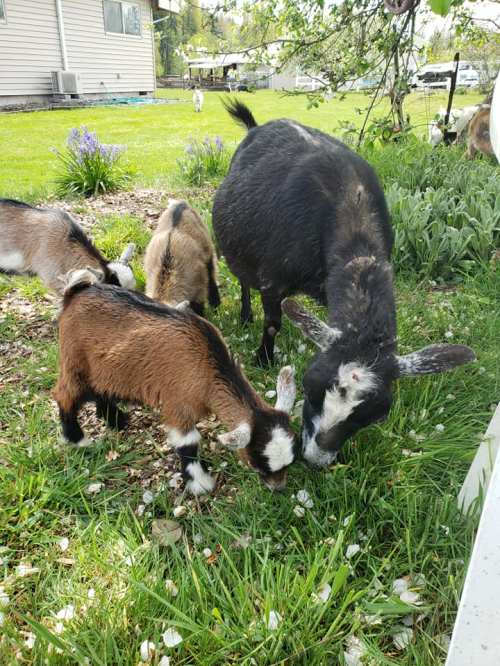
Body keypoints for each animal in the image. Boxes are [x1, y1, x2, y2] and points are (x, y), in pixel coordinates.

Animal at [53, 269, 297, 494]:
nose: (279, 489)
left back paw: (116, 420)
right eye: (259, 465)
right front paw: (200, 484)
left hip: (103, 367)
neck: (206, 368)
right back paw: (78, 440)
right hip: (74, 362)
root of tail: (74, 293)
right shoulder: (178, 403)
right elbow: (188, 444)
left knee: (100, 389)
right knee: (65, 395)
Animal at [212, 100, 475, 467]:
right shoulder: (272, 279)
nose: (315, 459)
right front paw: (263, 358)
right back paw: (246, 315)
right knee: (244, 283)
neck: (351, 205)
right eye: (309, 388)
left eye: (375, 415)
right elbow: (273, 321)